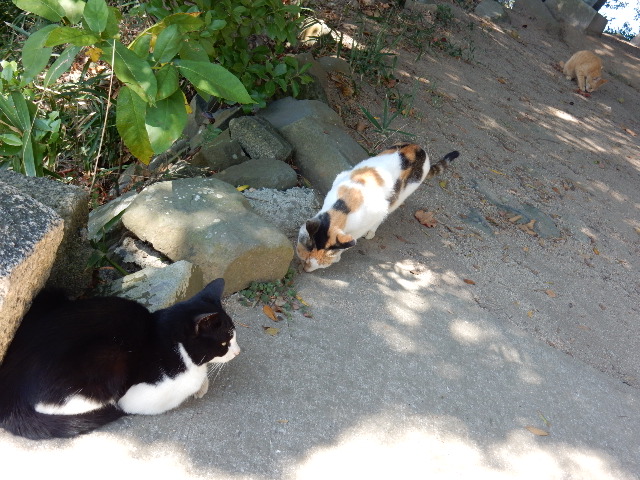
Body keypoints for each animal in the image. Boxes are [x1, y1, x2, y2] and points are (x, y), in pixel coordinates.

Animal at [0, 278, 240, 440]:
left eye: (234, 336)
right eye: (224, 343)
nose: (238, 352)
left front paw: (203, 383)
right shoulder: (142, 394)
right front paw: (199, 384)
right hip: (107, 361)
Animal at [296, 143, 459, 272]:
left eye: (320, 265)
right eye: (303, 258)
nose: (305, 270)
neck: (345, 206)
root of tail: (422, 151)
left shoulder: (374, 214)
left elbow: (352, 239)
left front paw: (340, 255)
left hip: (399, 197)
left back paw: (371, 233)